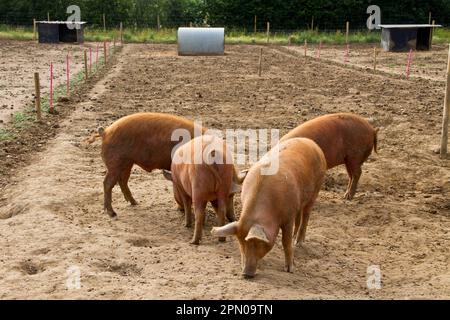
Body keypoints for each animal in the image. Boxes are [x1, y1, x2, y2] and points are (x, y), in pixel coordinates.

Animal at [211, 138, 326, 278]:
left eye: (257, 244)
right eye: (241, 243)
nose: (246, 274)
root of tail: (311, 142)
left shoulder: (288, 217)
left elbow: (285, 242)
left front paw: (289, 269)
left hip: (317, 188)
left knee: (306, 215)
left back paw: (298, 243)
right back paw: (295, 239)